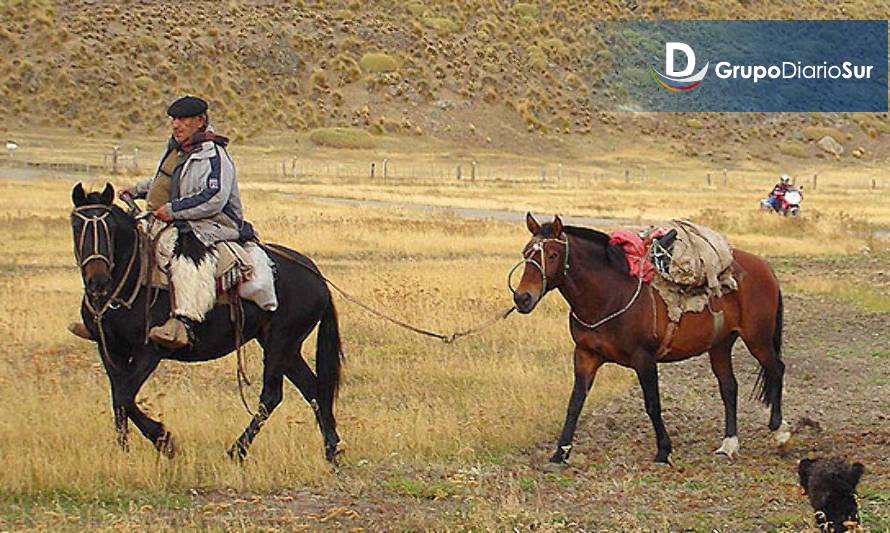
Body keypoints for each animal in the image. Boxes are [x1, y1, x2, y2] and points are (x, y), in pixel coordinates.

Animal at [67, 181, 340, 460]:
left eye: (110, 228)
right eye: (76, 226)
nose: (98, 281)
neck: (135, 279)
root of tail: (316, 276)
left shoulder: (150, 351)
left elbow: (124, 396)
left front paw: (164, 440)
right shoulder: (110, 348)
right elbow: (118, 397)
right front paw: (124, 450)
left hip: (280, 343)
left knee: (272, 396)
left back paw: (236, 451)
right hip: (286, 348)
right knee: (314, 389)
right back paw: (331, 452)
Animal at [510, 214, 788, 464]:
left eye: (552, 255)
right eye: (525, 253)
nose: (522, 298)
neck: (610, 294)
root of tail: (764, 268)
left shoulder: (644, 359)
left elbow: (652, 404)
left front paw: (663, 451)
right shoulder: (585, 355)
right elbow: (575, 403)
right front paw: (561, 452)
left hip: (758, 339)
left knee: (777, 369)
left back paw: (780, 433)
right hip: (720, 344)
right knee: (729, 387)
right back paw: (729, 444)